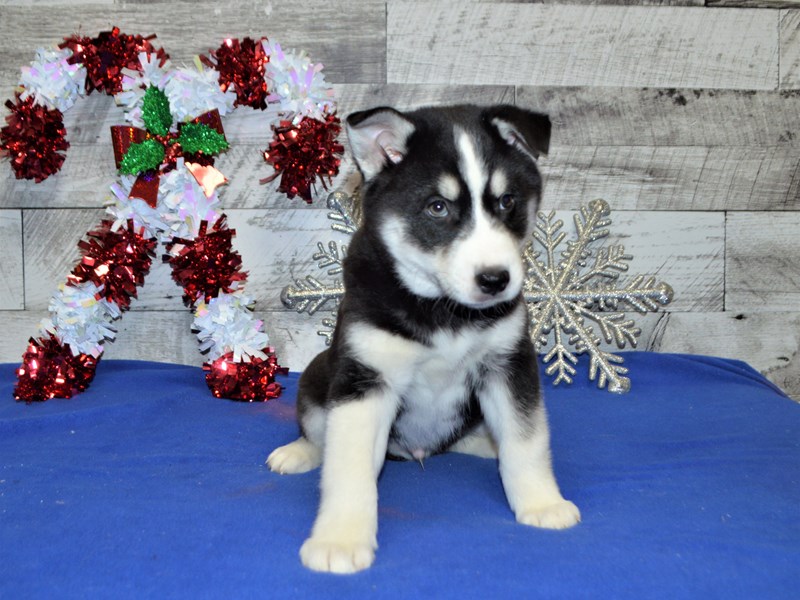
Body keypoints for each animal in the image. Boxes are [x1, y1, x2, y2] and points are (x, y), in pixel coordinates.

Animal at [268, 105, 580, 576]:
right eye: (437, 207)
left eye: (507, 201)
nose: (496, 280)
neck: (442, 308)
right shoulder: (366, 380)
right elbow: (349, 469)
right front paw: (340, 538)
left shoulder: (508, 364)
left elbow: (526, 440)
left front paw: (542, 502)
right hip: (320, 374)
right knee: (319, 435)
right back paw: (299, 453)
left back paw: (486, 444)